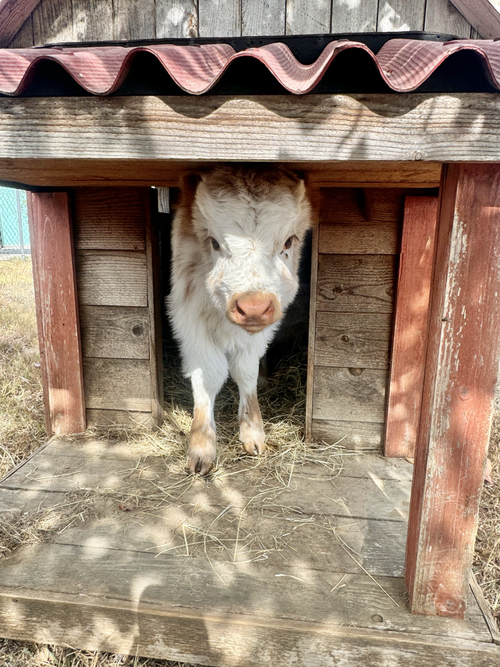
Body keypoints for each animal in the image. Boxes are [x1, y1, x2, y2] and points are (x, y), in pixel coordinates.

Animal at [168, 167, 312, 475]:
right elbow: (208, 374)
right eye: (214, 242)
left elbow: (246, 371)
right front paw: (201, 445)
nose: (253, 308)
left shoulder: (260, 330)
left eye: (288, 241)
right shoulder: (188, 318)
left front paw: (253, 431)